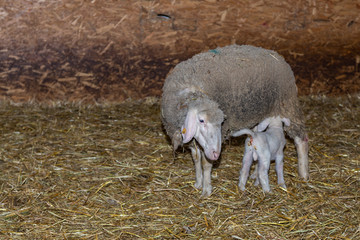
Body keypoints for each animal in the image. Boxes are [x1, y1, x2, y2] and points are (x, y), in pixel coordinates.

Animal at [162, 44, 308, 196]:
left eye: (222, 122)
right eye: (201, 121)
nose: (216, 154)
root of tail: (276, 55)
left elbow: (206, 164)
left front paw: (206, 189)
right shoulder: (193, 142)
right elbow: (196, 159)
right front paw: (198, 183)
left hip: (287, 104)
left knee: (301, 139)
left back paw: (303, 174)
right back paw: (255, 174)